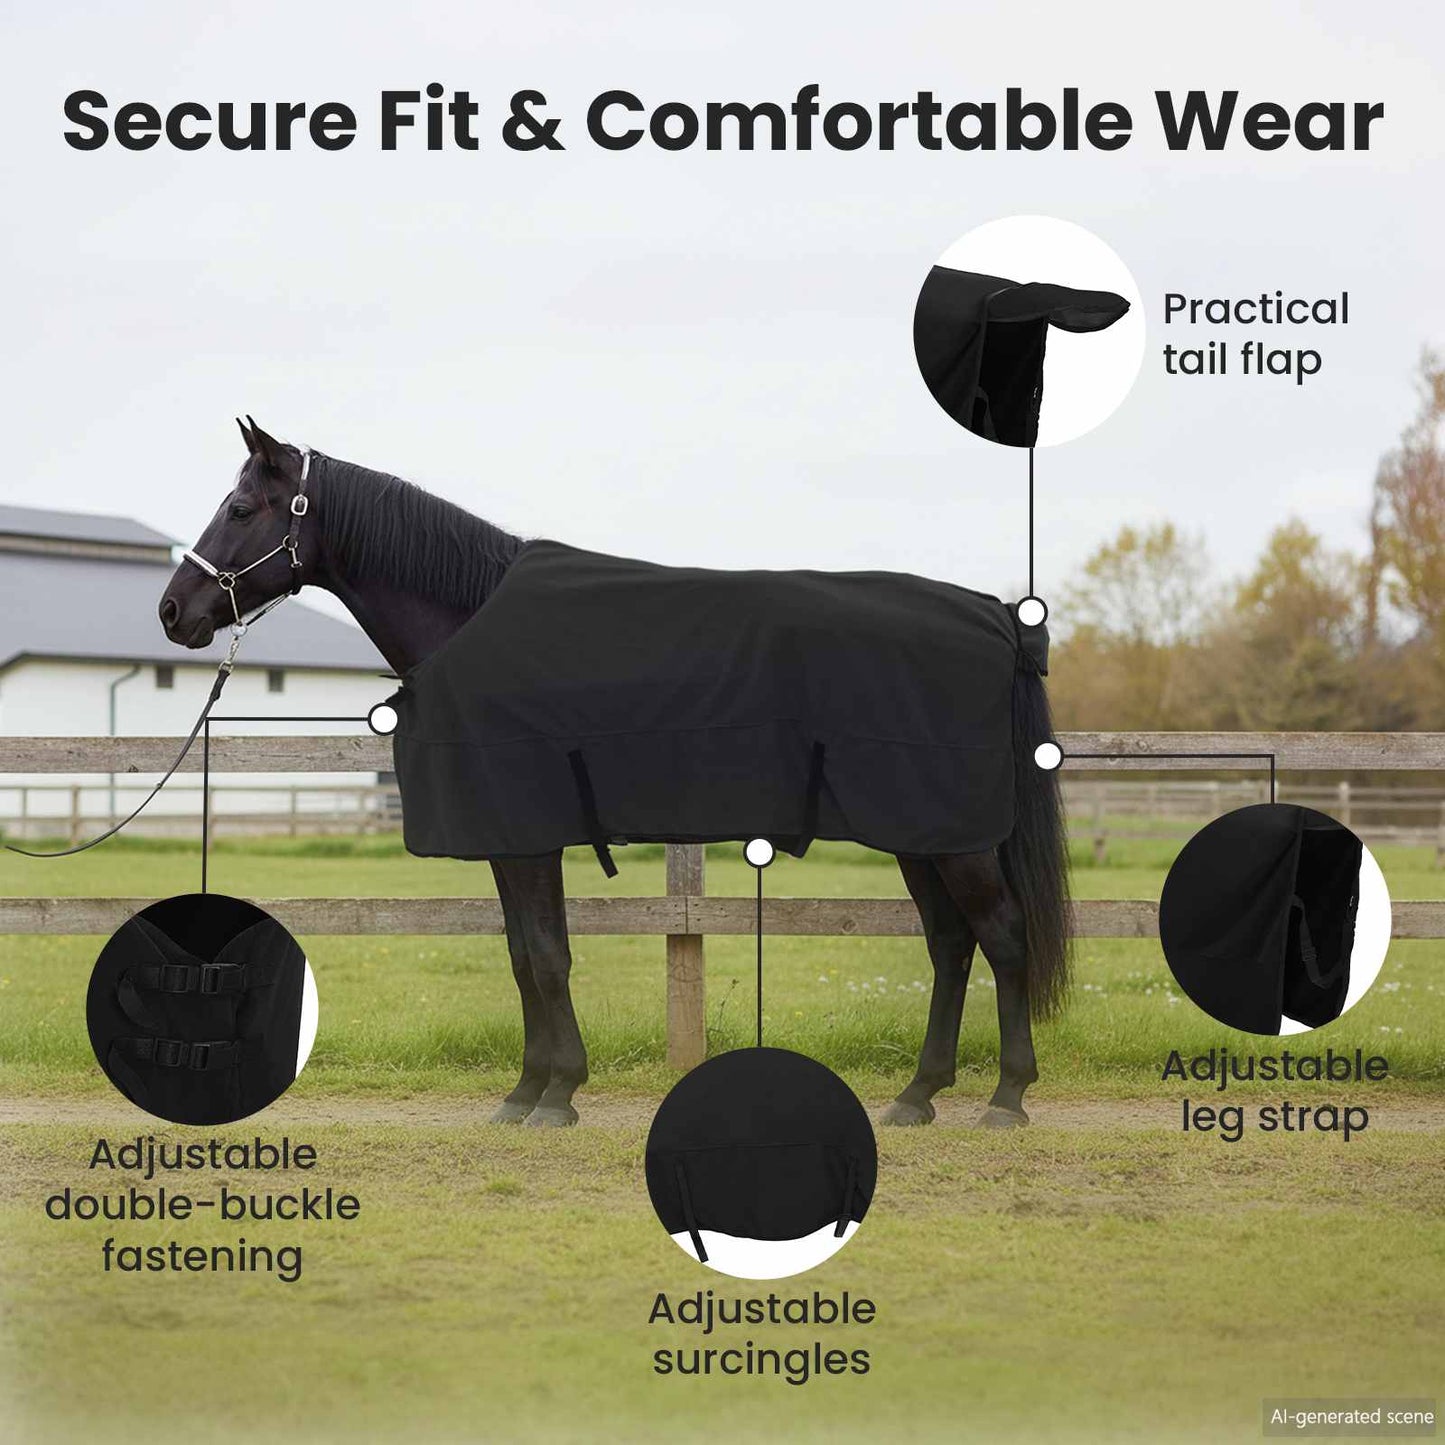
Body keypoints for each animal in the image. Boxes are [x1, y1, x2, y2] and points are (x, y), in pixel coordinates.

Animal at [158, 420, 1071, 1129]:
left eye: (240, 508)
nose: (173, 611)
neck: (471, 620)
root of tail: (991, 615)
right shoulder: (509, 841)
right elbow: (525, 954)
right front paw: (529, 1089)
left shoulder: (526, 837)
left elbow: (545, 956)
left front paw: (555, 1093)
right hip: (922, 836)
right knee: (950, 943)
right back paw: (918, 1094)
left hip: (955, 840)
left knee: (1002, 936)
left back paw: (1006, 1096)